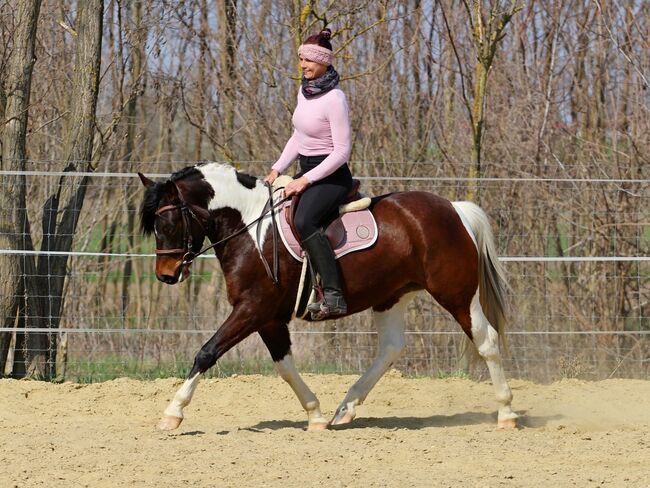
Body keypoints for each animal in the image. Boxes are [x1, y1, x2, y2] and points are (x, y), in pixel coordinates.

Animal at [138, 162, 518, 431]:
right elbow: (285, 367)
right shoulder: (268, 318)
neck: (249, 227)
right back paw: (345, 409)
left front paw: (172, 413)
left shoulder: (252, 308)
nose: (166, 275)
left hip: (456, 293)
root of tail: (453, 209)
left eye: (168, 223)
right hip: (392, 296)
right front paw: (316, 414)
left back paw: (506, 412)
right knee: (391, 348)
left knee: (486, 340)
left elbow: (207, 352)